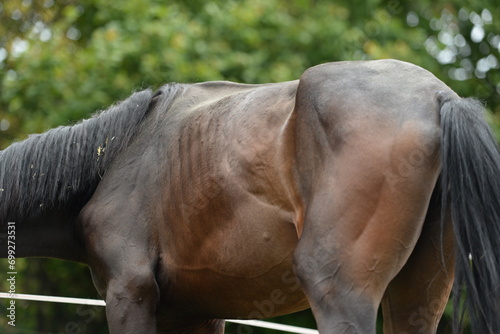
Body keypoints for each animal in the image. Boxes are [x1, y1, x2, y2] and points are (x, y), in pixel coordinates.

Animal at [0, 59, 500, 332]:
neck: (117, 157)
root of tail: (437, 96)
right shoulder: (194, 315)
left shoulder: (129, 293)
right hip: (417, 295)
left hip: (338, 287)